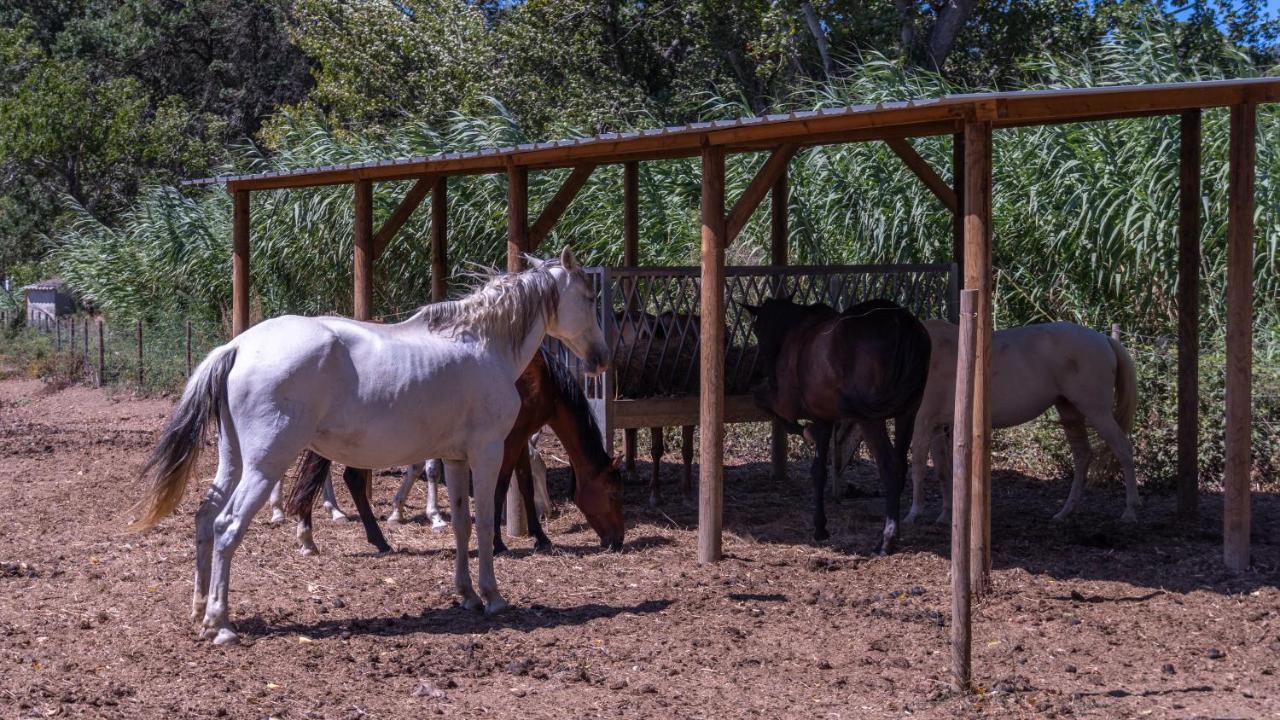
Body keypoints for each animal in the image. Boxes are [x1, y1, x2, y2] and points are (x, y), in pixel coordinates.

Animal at [286, 348, 624, 556]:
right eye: (612, 493)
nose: (618, 540)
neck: (542, 378)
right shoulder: (509, 439)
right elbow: (500, 488)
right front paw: (498, 542)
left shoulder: (519, 438)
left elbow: (524, 486)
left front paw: (540, 537)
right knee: (349, 478)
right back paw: (374, 538)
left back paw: (317, 535)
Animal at [742, 294, 931, 550]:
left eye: (757, 330)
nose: (764, 371)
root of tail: (899, 321)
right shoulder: (824, 419)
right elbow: (818, 472)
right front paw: (820, 527)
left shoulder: (786, 404)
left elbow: (764, 403)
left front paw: (803, 430)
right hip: (908, 413)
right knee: (901, 465)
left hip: (871, 419)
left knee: (890, 465)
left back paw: (887, 540)